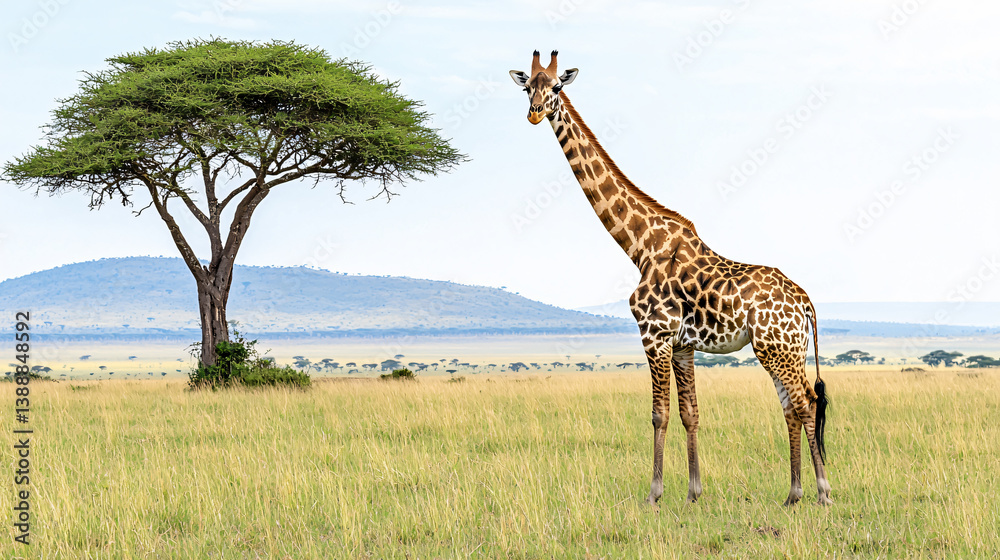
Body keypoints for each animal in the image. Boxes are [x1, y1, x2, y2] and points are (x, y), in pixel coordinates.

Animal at [509, 51, 832, 506]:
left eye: (556, 87)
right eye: (526, 88)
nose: (535, 113)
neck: (640, 246)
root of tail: (806, 302)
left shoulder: (654, 335)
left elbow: (658, 414)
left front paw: (654, 493)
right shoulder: (682, 345)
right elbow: (689, 413)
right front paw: (695, 491)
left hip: (776, 348)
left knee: (804, 402)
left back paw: (821, 491)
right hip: (785, 348)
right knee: (793, 404)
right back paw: (793, 492)